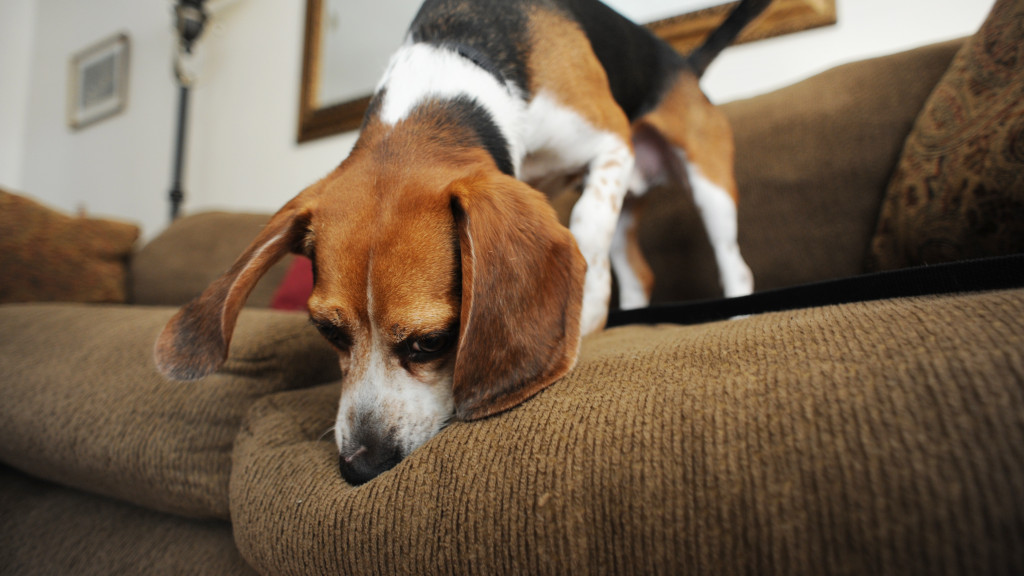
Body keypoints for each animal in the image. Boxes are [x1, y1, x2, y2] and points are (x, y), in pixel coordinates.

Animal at [157, 0, 770, 483]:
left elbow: (586, 228)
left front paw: (588, 307)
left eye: (431, 342)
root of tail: (682, 62)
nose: (359, 467)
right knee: (638, 270)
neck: (459, 65)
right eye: (328, 332)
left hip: (708, 180)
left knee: (732, 262)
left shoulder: (608, 143)